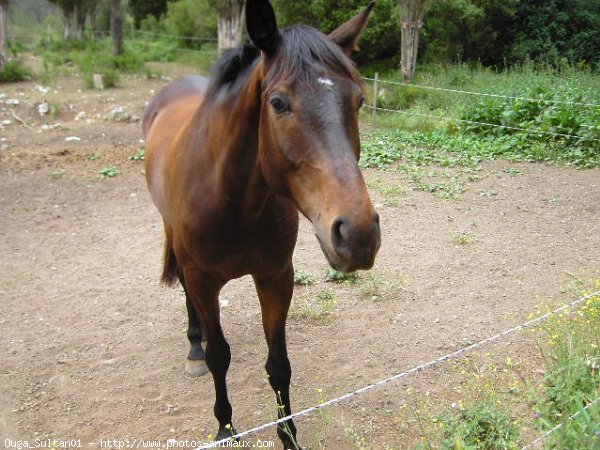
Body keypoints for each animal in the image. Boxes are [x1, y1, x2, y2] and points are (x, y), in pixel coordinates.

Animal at [142, 0, 380, 446]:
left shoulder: (275, 276)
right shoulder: (203, 279)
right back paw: (194, 345)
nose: (358, 234)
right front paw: (225, 427)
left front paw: (288, 435)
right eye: (279, 103)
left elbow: (279, 364)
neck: (232, 200)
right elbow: (220, 357)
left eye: (357, 101)